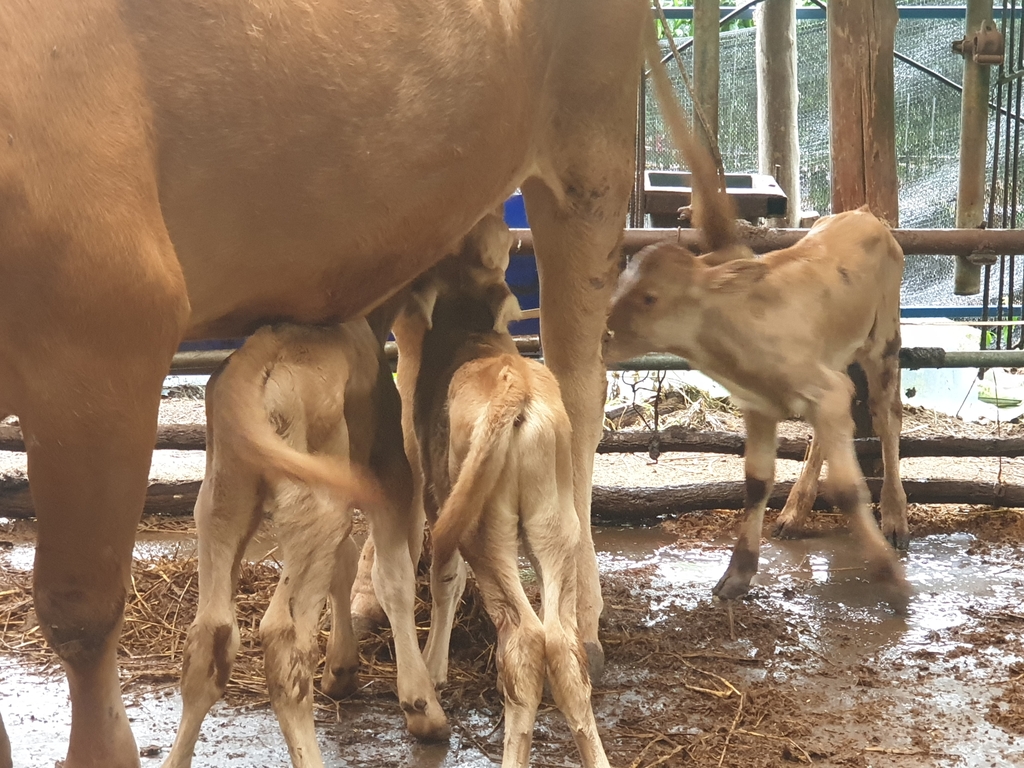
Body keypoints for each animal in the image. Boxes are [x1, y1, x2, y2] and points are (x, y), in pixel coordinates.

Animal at [164, 319, 444, 768]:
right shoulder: (388, 469)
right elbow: (393, 576)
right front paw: (422, 706)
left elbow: (345, 565)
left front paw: (342, 669)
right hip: (315, 503)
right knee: (285, 639)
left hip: (221, 500)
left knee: (209, 635)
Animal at [391, 215, 606, 768]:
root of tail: (516, 387)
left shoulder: (440, 499)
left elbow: (445, 579)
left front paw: (435, 668)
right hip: (556, 524)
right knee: (563, 644)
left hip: (483, 528)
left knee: (525, 639)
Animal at [602, 205, 909, 614]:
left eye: (650, 297)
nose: (602, 335)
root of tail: (863, 213)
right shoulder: (760, 404)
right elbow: (756, 482)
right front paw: (738, 574)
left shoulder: (822, 392)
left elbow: (846, 489)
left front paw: (891, 578)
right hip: (835, 360)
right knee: (827, 432)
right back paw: (794, 512)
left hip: (884, 341)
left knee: (886, 417)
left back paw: (894, 517)